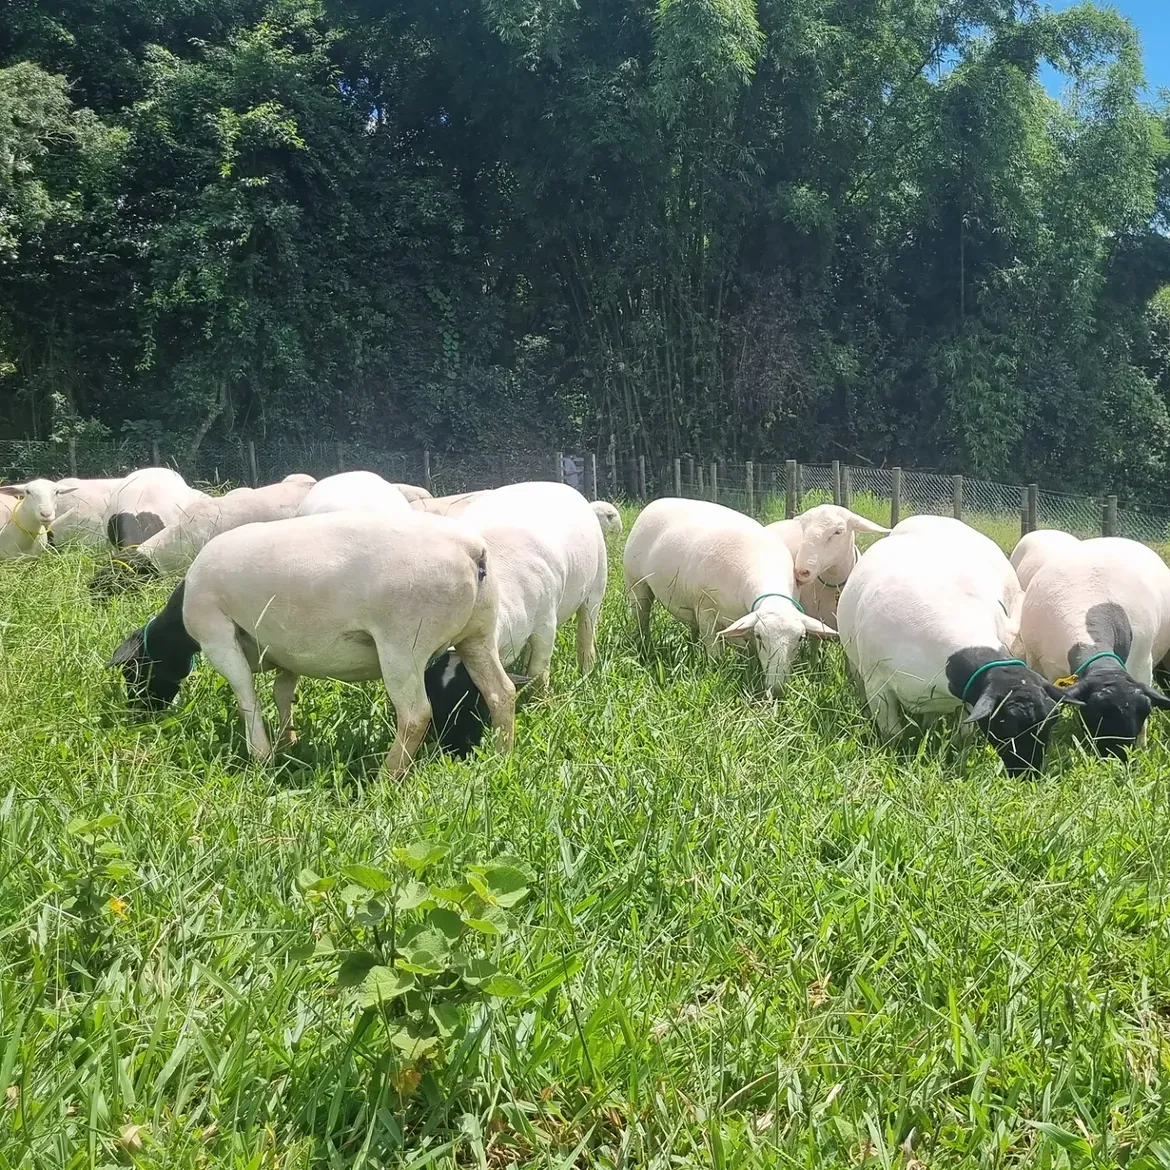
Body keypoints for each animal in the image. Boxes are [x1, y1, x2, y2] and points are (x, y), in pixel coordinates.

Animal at [108, 510, 516, 778]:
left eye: (133, 670)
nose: (139, 713)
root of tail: (472, 552)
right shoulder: (286, 650)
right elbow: (282, 692)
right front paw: (288, 742)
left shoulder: (217, 636)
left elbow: (246, 695)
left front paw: (261, 758)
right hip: (478, 634)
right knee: (501, 693)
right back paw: (501, 757)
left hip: (403, 644)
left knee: (415, 714)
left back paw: (386, 777)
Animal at [424, 482, 608, 754]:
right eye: (433, 699)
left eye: (473, 700)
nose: (454, 751)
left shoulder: (546, 626)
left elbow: (538, 673)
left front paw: (541, 706)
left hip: (595, 589)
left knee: (587, 634)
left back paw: (586, 672)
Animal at [623, 498, 836, 695]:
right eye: (760, 636)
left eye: (800, 638)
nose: (776, 690)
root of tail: (658, 501)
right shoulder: (706, 609)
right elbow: (714, 649)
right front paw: (715, 669)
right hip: (637, 583)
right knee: (641, 618)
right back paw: (643, 646)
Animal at [837, 527, 1067, 774]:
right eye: (1006, 723)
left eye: (1052, 720)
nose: (1029, 774)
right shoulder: (878, 686)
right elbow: (892, 735)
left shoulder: (970, 695)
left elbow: (964, 736)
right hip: (858, 667)